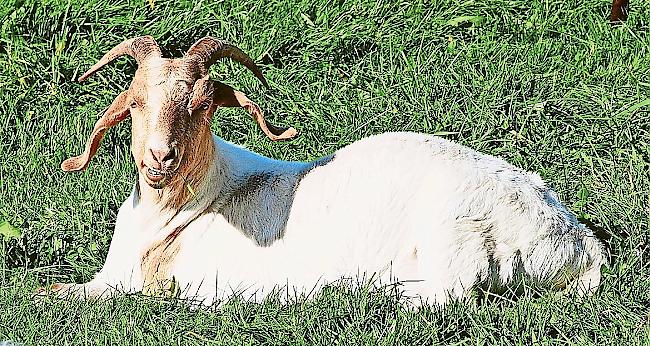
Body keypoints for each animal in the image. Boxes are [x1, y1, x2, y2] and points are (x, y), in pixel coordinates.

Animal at [41, 35, 608, 306]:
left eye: (203, 105)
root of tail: (578, 244)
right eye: (135, 102)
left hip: (456, 233)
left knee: (448, 297)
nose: (160, 158)